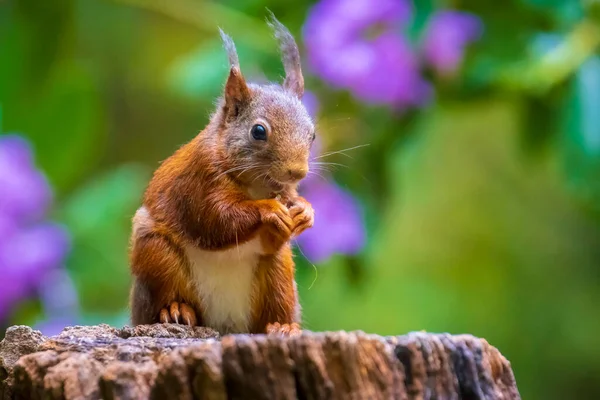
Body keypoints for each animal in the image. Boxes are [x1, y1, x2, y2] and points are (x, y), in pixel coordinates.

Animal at [127, 13, 314, 338]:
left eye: (312, 134)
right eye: (258, 131)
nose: (297, 172)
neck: (255, 186)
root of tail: (224, 323)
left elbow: (275, 230)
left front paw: (304, 211)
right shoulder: (199, 181)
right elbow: (217, 219)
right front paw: (268, 210)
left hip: (278, 274)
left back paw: (283, 327)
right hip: (156, 254)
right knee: (168, 293)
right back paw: (176, 309)